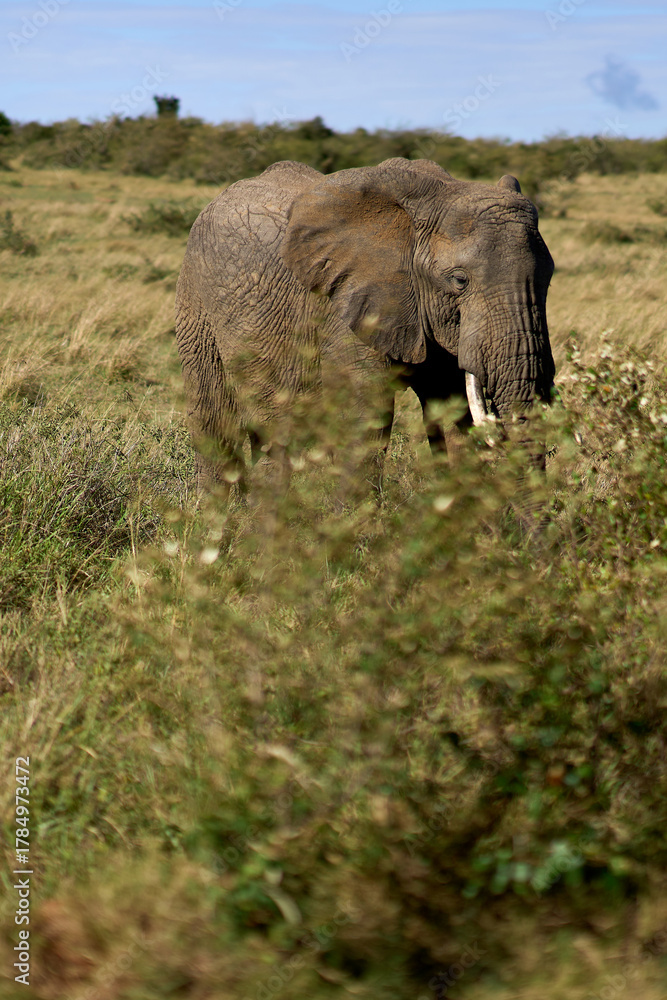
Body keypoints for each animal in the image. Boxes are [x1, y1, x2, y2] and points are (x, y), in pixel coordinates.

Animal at [175, 157, 555, 498]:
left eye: (549, 278)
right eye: (459, 280)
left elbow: (451, 408)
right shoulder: (343, 306)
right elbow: (366, 415)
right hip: (195, 301)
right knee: (214, 419)